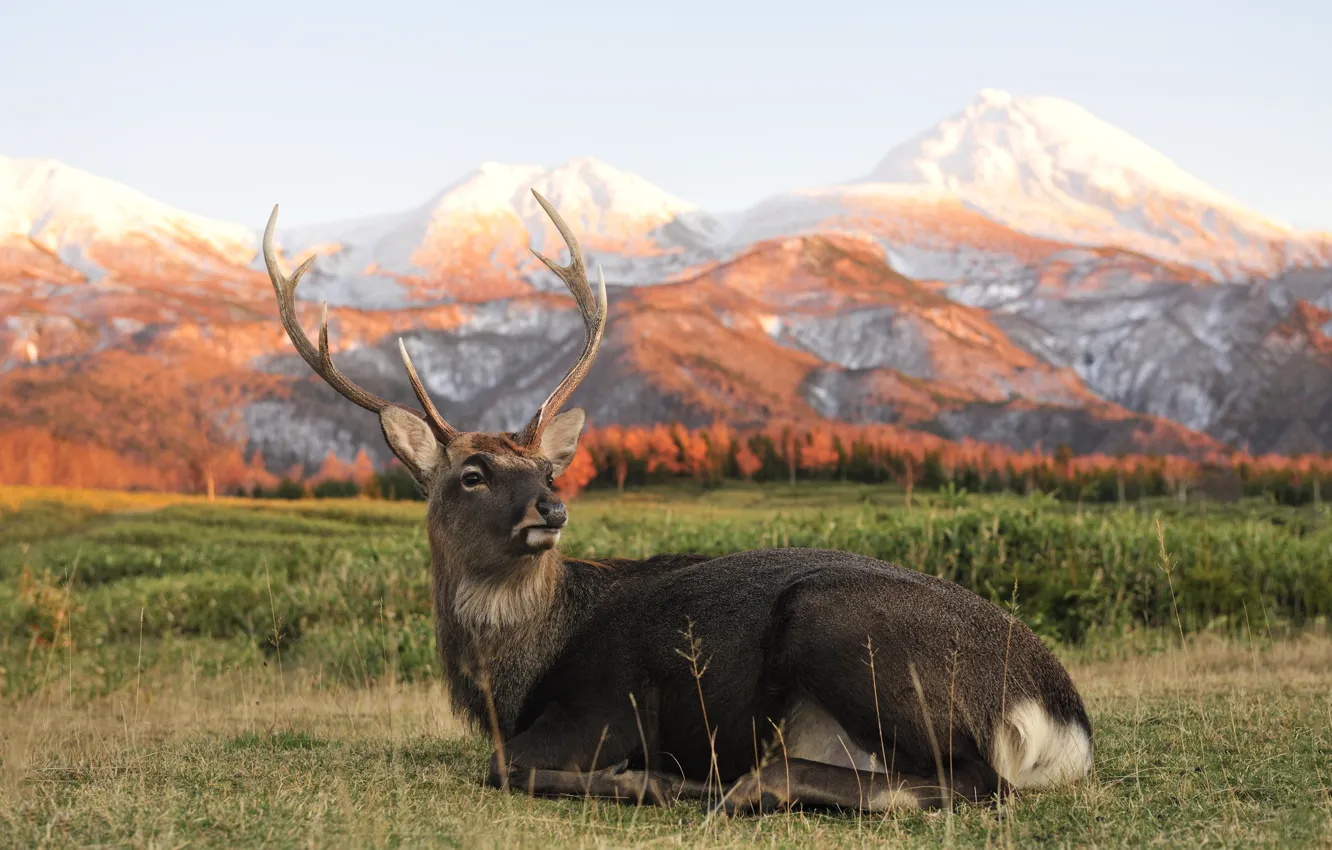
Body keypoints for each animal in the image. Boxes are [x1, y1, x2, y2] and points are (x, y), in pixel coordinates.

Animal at [261, 193, 1094, 815]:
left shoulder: (607, 705)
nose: (549, 511)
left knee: (976, 780)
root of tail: (1061, 716)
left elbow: (502, 766)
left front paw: (645, 779)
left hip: (841, 625)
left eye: (548, 469)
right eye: (471, 474)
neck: (511, 679)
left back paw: (732, 784)